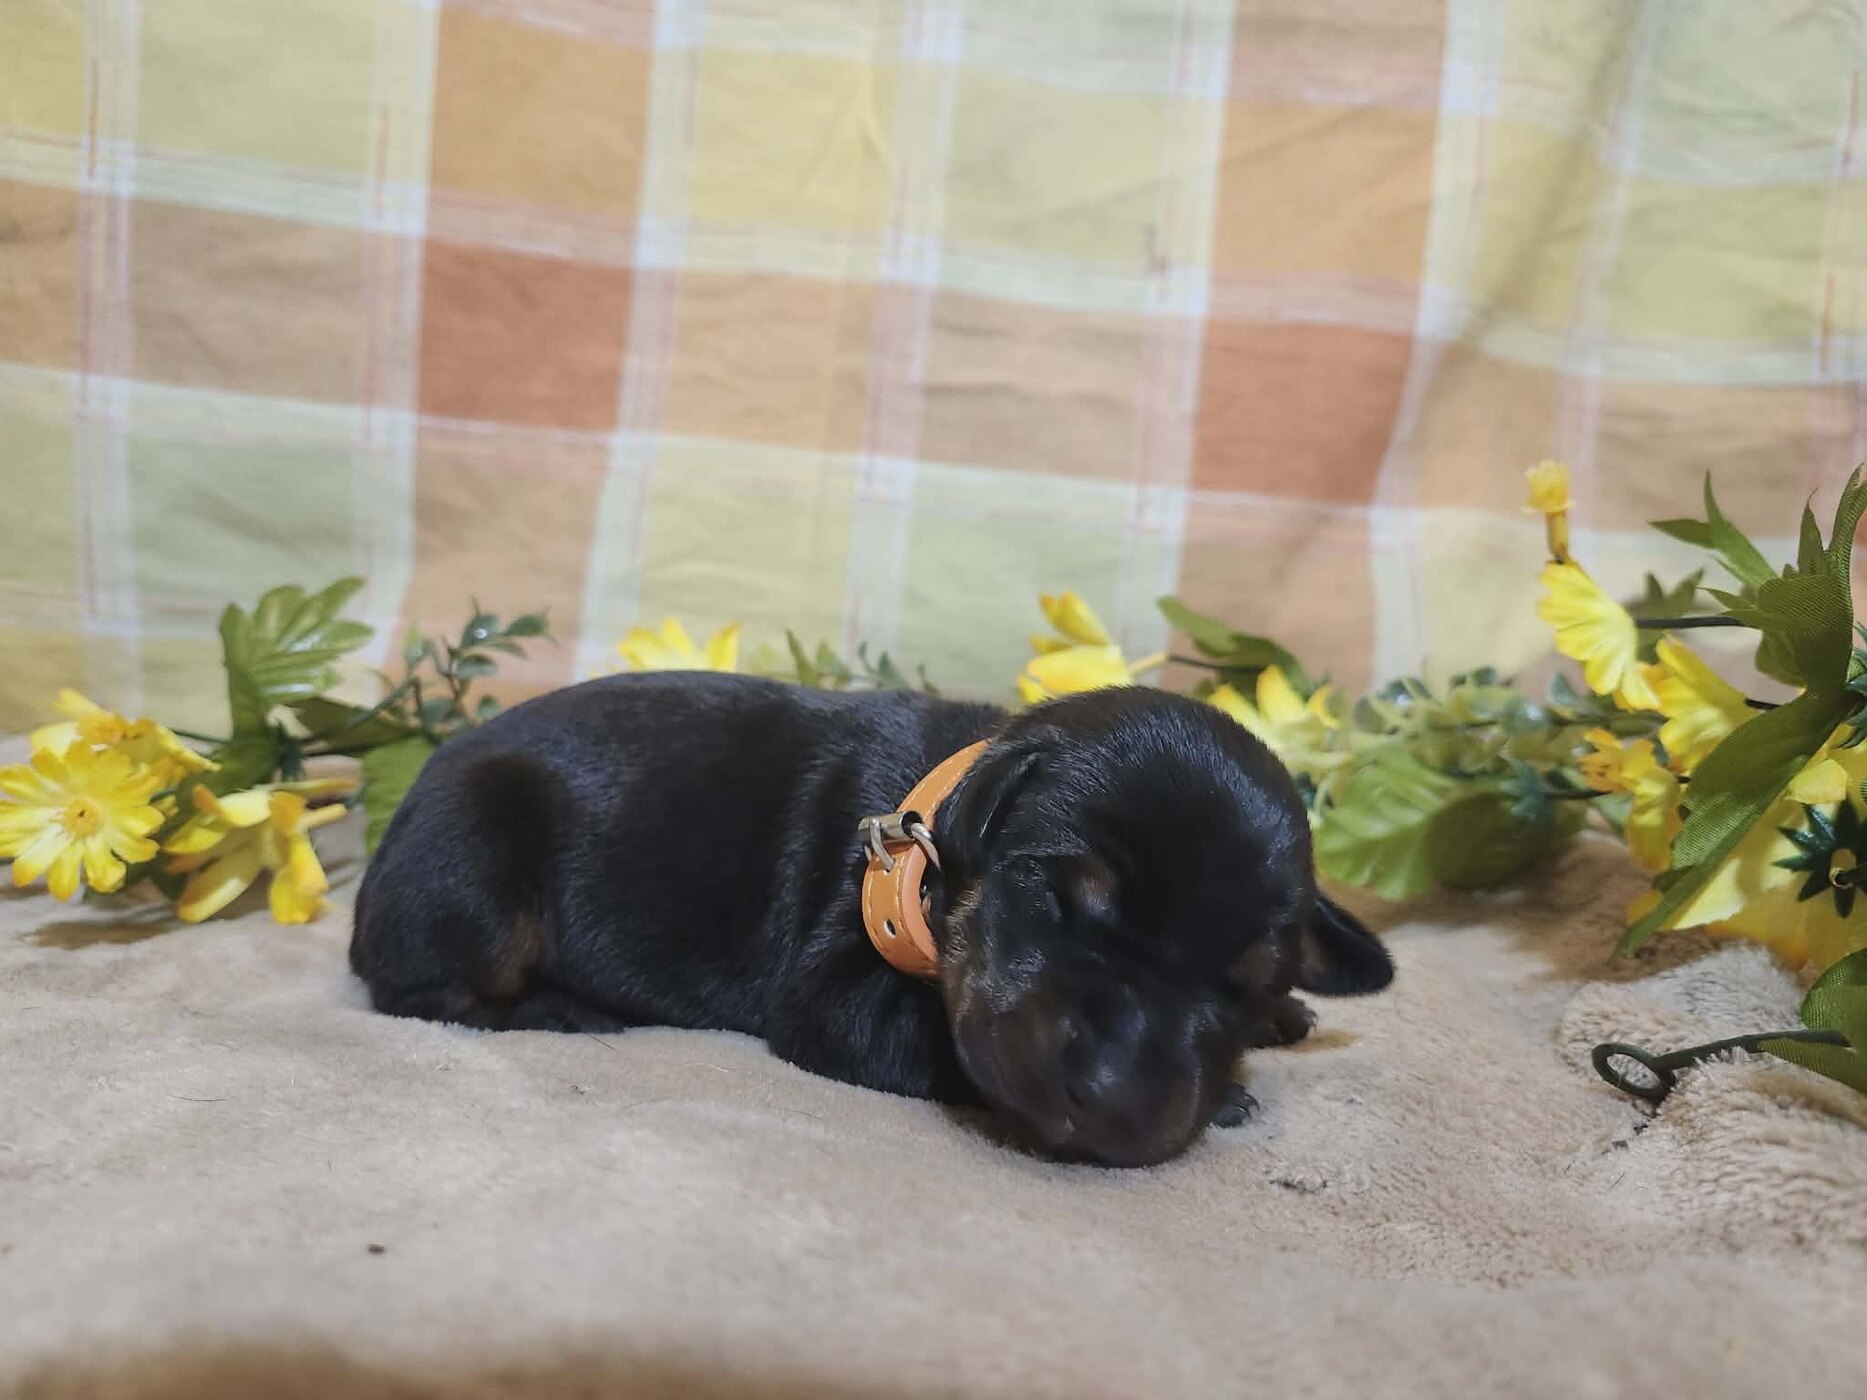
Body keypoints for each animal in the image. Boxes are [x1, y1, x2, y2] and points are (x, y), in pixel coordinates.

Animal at [350, 673, 1393, 1167]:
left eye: (1243, 981)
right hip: (473, 861)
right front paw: (1231, 1100)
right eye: (1055, 898)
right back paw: (561, 1010)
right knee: (423, 988)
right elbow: (949, 1050)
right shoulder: (837, 999)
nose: (1111, 1094)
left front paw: (1282, 1022)